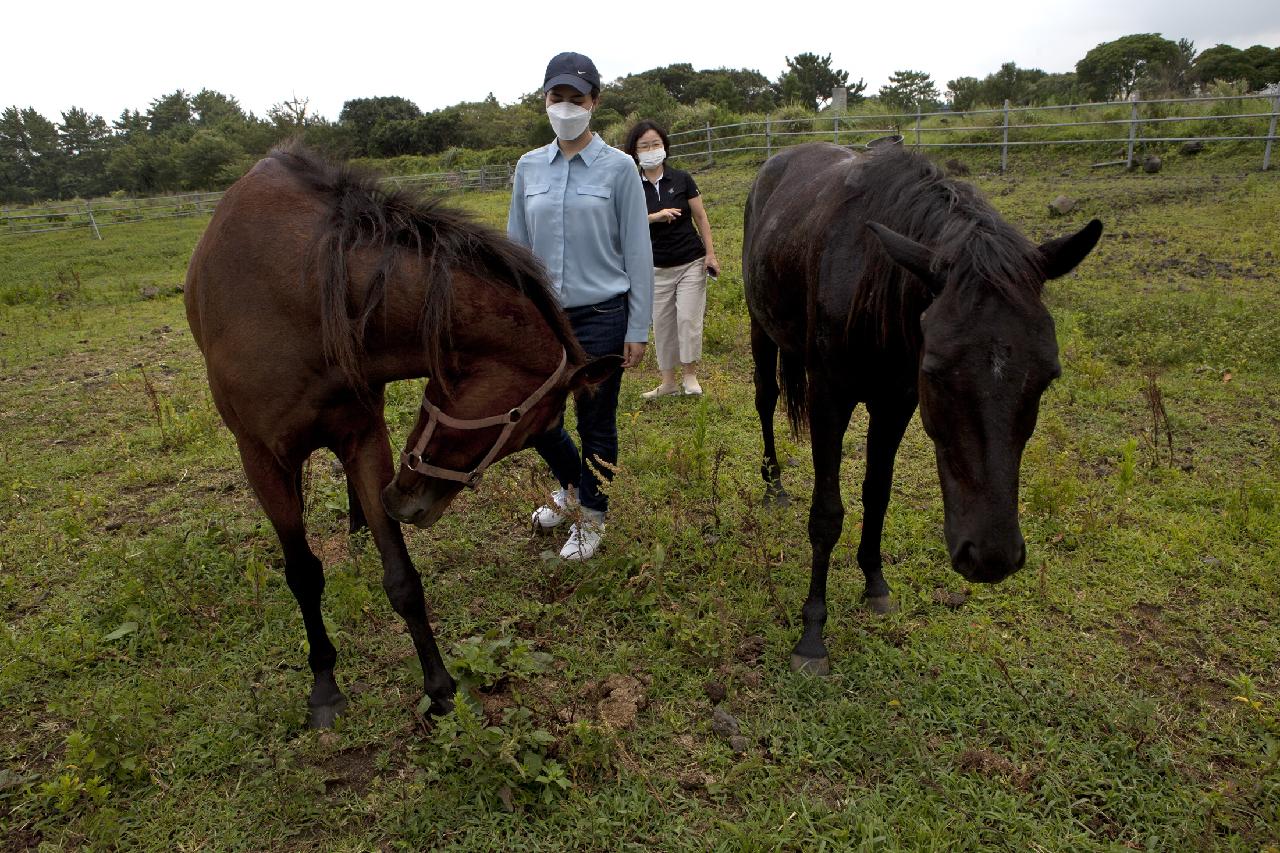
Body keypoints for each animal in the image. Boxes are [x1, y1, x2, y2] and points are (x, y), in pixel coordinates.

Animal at [184, 144, 614, 722]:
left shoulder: (366, 438)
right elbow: (303, 573)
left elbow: (402, 579)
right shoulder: (263, 460)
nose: (407, 504)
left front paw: (440, 688)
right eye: (531, 425)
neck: (307, 298)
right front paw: (325, 685)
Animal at [747, 142, 1105, 676]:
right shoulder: (829, 398)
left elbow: (877, 493)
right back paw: (773, 483)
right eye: (936, 369)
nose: (992, 557)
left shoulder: (895, 403)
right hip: (760, 327)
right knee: (766, 399)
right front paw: (812, 635)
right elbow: (827, 514)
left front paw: (875, 583)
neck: (869, 277)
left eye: (1048, 375)